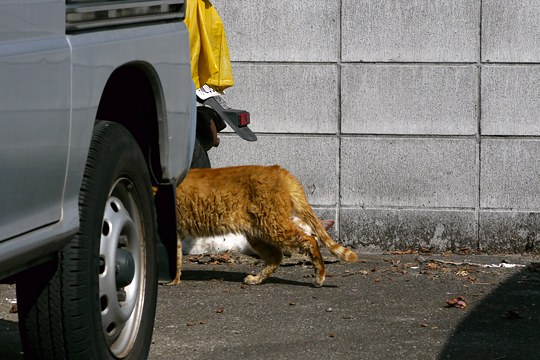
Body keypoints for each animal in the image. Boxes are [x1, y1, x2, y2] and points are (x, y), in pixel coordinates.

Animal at [171, 165, 358, 286]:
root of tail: (280, 170)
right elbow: (177, 257)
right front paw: (174, 280)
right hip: (258, 233)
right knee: (276, 257)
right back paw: (256, 279)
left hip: (274, 227)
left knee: (307, 242)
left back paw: (319, 276)